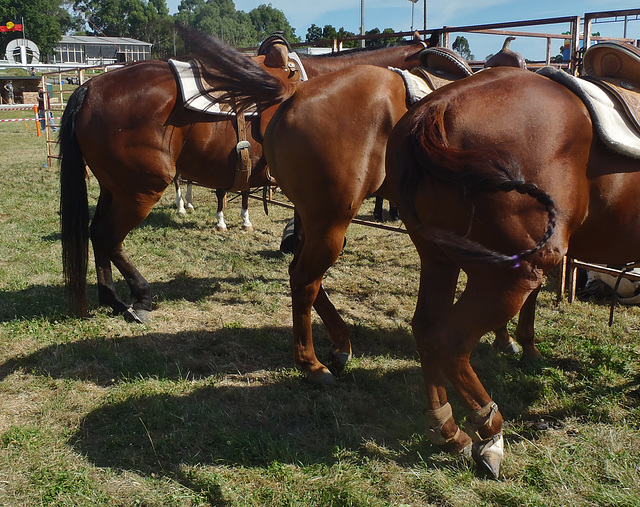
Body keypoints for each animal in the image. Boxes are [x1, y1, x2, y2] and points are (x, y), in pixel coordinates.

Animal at [58, 33, 424, 324]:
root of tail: (90, 87)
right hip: (140, 191)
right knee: (107, 236)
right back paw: (140, 298)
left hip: (114, 188)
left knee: (96, 233)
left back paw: (113, 300)